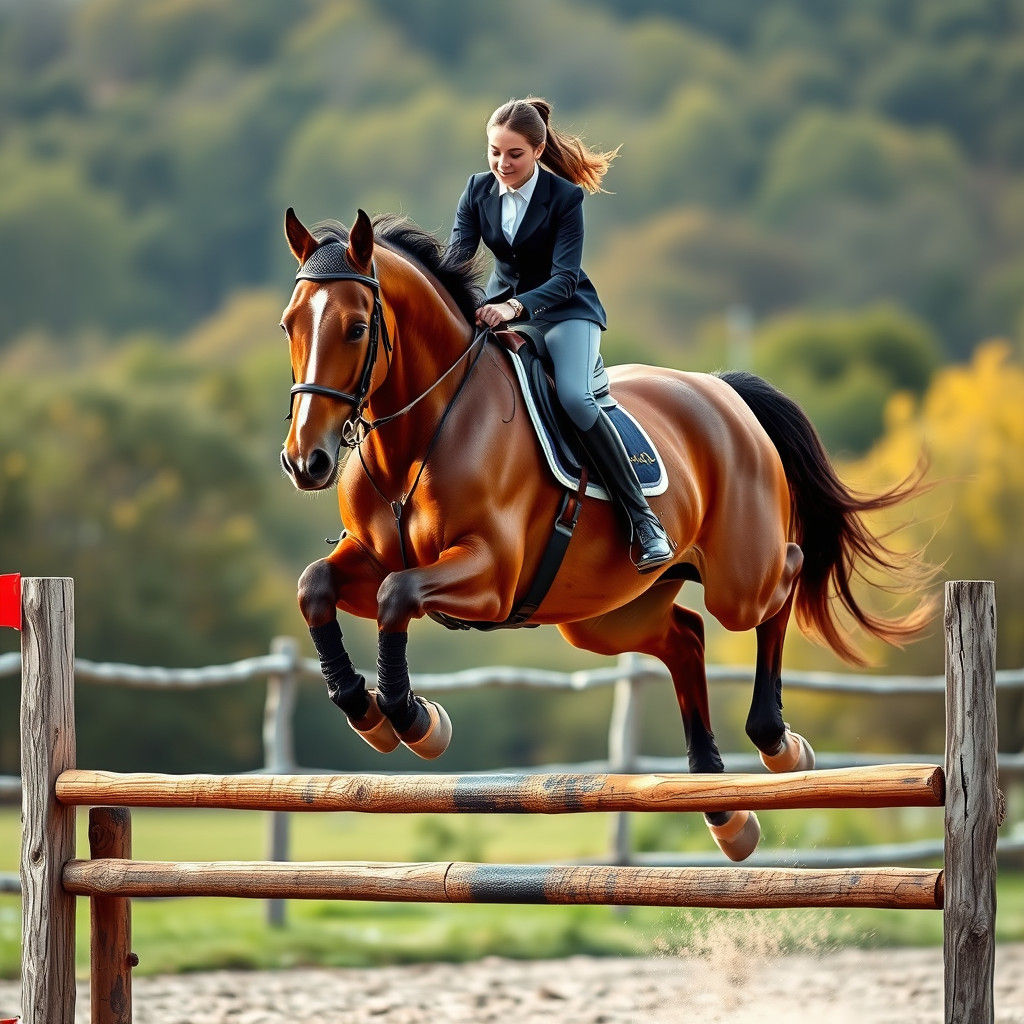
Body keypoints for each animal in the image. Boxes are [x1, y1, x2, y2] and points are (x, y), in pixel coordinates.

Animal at [279, 205, 932, 861]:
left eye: (357, 328)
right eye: (289, 326)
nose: (305, 462)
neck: (418, 439)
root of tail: (724, 390)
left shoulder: (489, 578)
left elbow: (398, 597)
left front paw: (415, 721)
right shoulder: (372, 559)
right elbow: (315, 587)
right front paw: (366, 711)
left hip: (738, 582)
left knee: (787, 571)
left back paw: (779, 744)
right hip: (604, 615)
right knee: (684, 637)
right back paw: (727, 815)